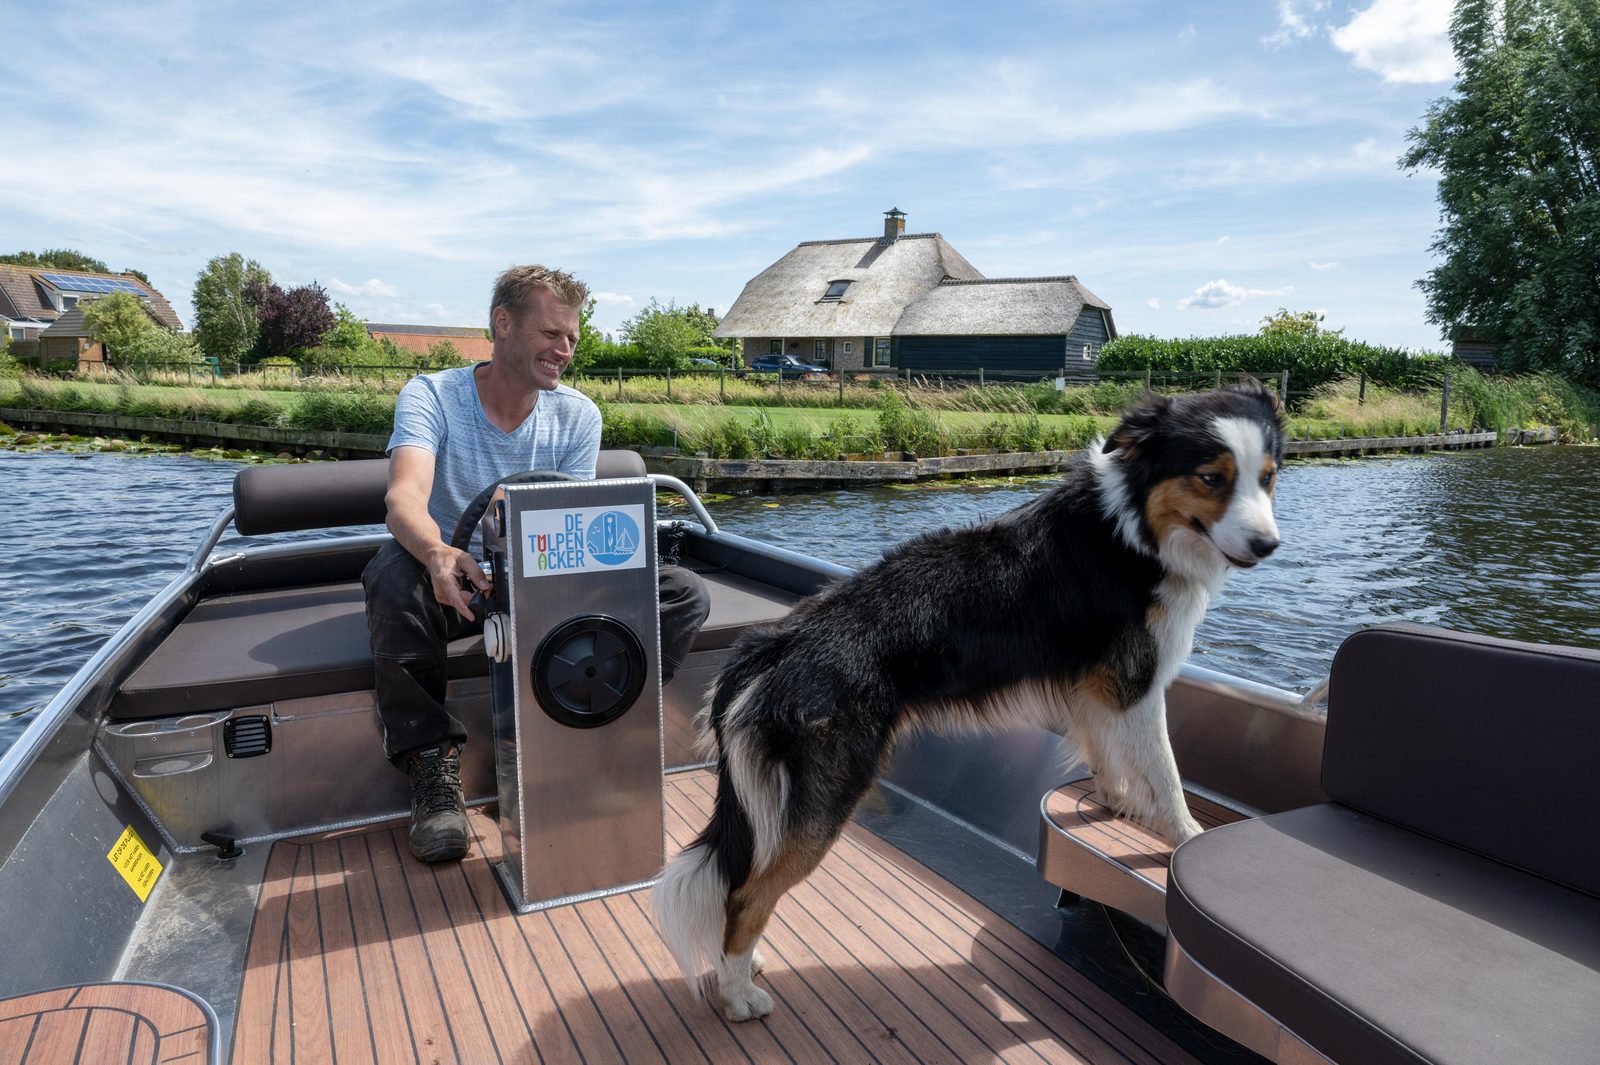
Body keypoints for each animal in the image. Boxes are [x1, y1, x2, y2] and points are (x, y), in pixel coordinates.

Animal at [649, 383, 1286, 1023]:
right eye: (1212, 478)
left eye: (1269, 478)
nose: (1268, 546)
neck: (1130, 528)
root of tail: (775, 642)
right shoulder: (1137, 682)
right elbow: (1167, 774)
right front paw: (1184, 839)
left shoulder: (1095, 685)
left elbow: (1108, 754)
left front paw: (1115, 802)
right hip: (828, 795)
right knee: (746, 894)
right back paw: (738, 995)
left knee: (740, 881)